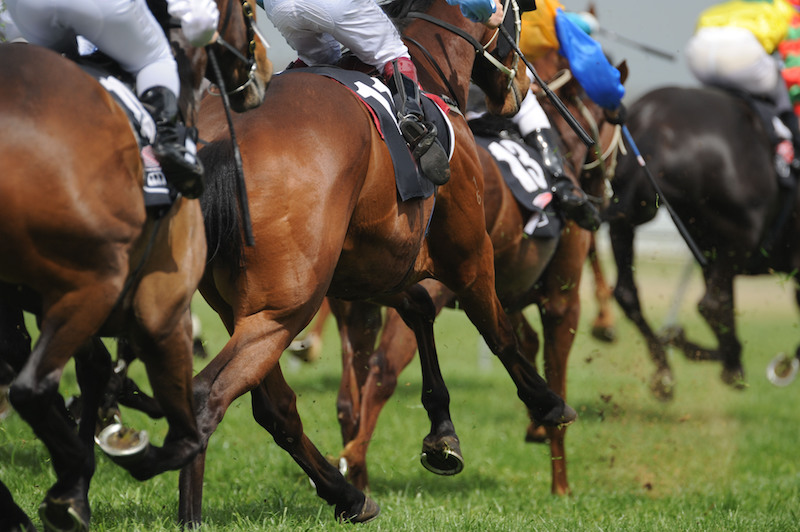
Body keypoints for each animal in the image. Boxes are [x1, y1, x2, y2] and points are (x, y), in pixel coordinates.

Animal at [0, 2, 272, 528]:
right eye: (248, 11)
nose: (264, 70)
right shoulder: (161, 313)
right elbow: (185, 435)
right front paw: (108, 463)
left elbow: (94, 370)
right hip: (96, 285)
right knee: (30, 387)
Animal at [184, 0, 576, 524]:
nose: (522, 89)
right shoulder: (469, 251)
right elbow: (498, 331)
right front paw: (548, 403)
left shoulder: (372, 268)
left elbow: (419, 312)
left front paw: (442, 435)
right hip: (285, 307)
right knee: (209, 394)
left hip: (238, 304)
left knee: (275, 407)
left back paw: (347, 494)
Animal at [332, 50, 624, 494]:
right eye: (617, 116)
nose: (606, 192)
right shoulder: (561, 299)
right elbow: (553, 370)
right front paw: (560, 482)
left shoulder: (501, 292)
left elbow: (522, 343)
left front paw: (537, 424)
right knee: (383, 369)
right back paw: (364, 457)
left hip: (356, 298)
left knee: (351, 390)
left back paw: (357, 472)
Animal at [608, 84, 800, 400]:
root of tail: (655, 121)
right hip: (740, 235)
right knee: (711, 303)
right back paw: (730, 365)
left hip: (629, 217)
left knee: (627, 293)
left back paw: (667, 368)